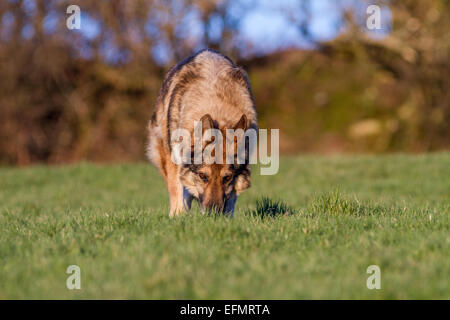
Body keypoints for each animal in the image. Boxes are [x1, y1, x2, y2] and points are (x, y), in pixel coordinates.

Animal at [147, 48, 256, 216]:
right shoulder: (175, 160)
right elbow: (178, 191)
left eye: (227, 178)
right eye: (203, 176)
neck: (217, 107)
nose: (213, 214)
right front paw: (178, 217)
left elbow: (231, 199)